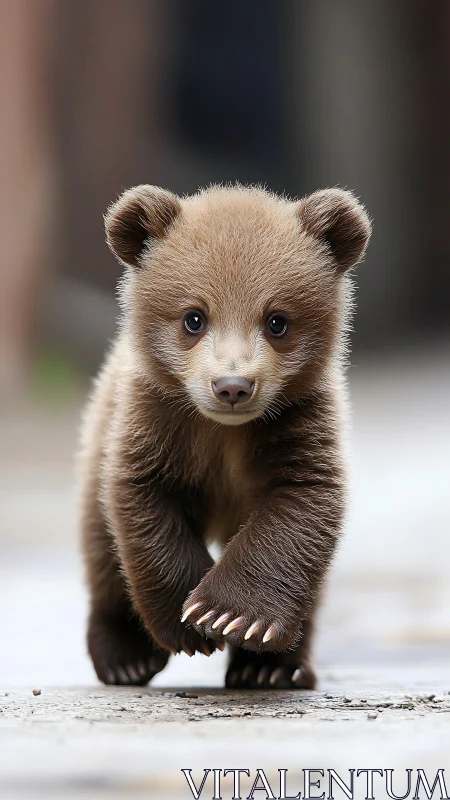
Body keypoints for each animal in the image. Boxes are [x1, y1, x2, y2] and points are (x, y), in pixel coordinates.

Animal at [78, 183, 371, 690]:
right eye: (194, 317)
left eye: (277, 320)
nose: (233, 386)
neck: (224, 432)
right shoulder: (158, 421)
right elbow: (145, 501)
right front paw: (189, 626)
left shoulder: (296, 422)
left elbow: (298, 507)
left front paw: (232, 618)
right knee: (103, 553)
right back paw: (125, 658)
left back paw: (271, 668)